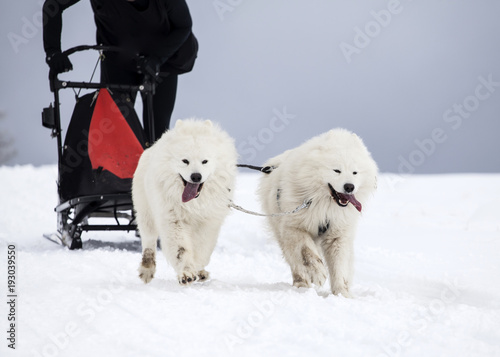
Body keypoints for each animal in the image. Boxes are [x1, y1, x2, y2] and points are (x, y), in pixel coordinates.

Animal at [133, 118, 238, 286]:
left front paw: (197, 269)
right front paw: (186, 273)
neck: (194, 203)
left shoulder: (208, 221)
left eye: (204, 161)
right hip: (146, 212)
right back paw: (147, 270)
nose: (196, 176)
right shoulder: (173, 219)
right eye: (185, 161)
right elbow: (181, 249)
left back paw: (201, 272)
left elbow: (202, 248)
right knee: (148, 240)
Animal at [260, 129, 376, 296]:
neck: (325, 205)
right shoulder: (294, 226)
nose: (349, 186)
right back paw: (301, 284)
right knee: (295, 262)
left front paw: (342, 294)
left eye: (355, 172)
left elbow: (340, 266)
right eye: (337, 170)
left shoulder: (338, 234)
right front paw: (318, 274)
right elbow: (307, 251)